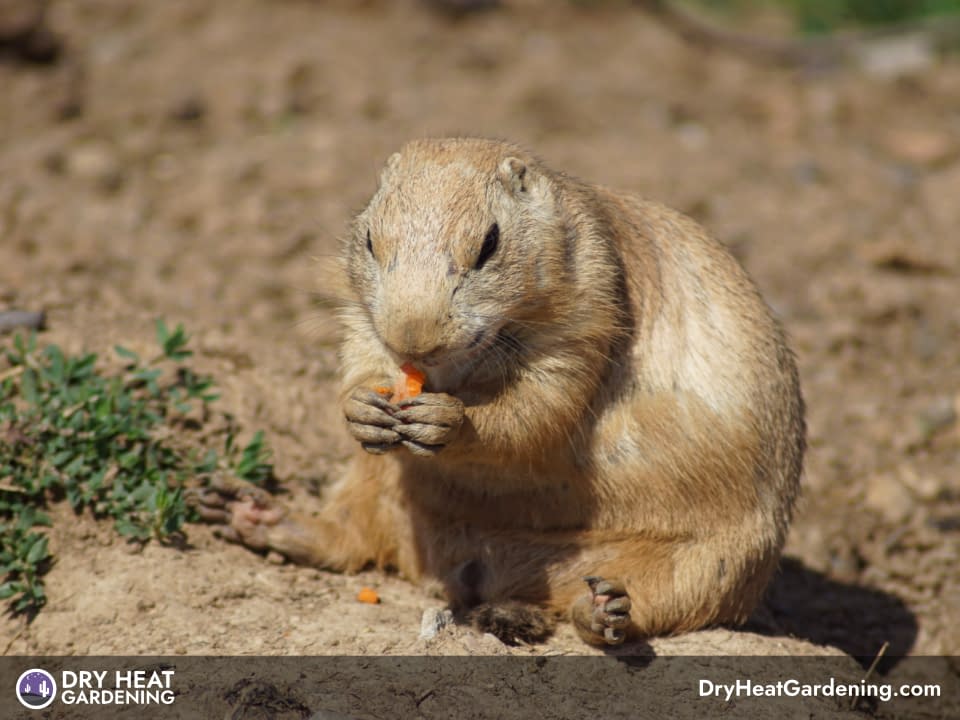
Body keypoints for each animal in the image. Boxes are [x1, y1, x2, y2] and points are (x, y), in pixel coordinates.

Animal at [201, 136, 804, 648]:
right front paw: (362, 407)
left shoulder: (590, 305)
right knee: (350, 536)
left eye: (488, 244)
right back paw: (248, 511)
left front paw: (449, 421)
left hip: (712, 569)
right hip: (378, 484)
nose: (414, 339)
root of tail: (492, 566)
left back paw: (606, 612)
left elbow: (541, 405)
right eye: (370, 240)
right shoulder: (361, 312)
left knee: (648, 603)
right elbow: (361, 355)